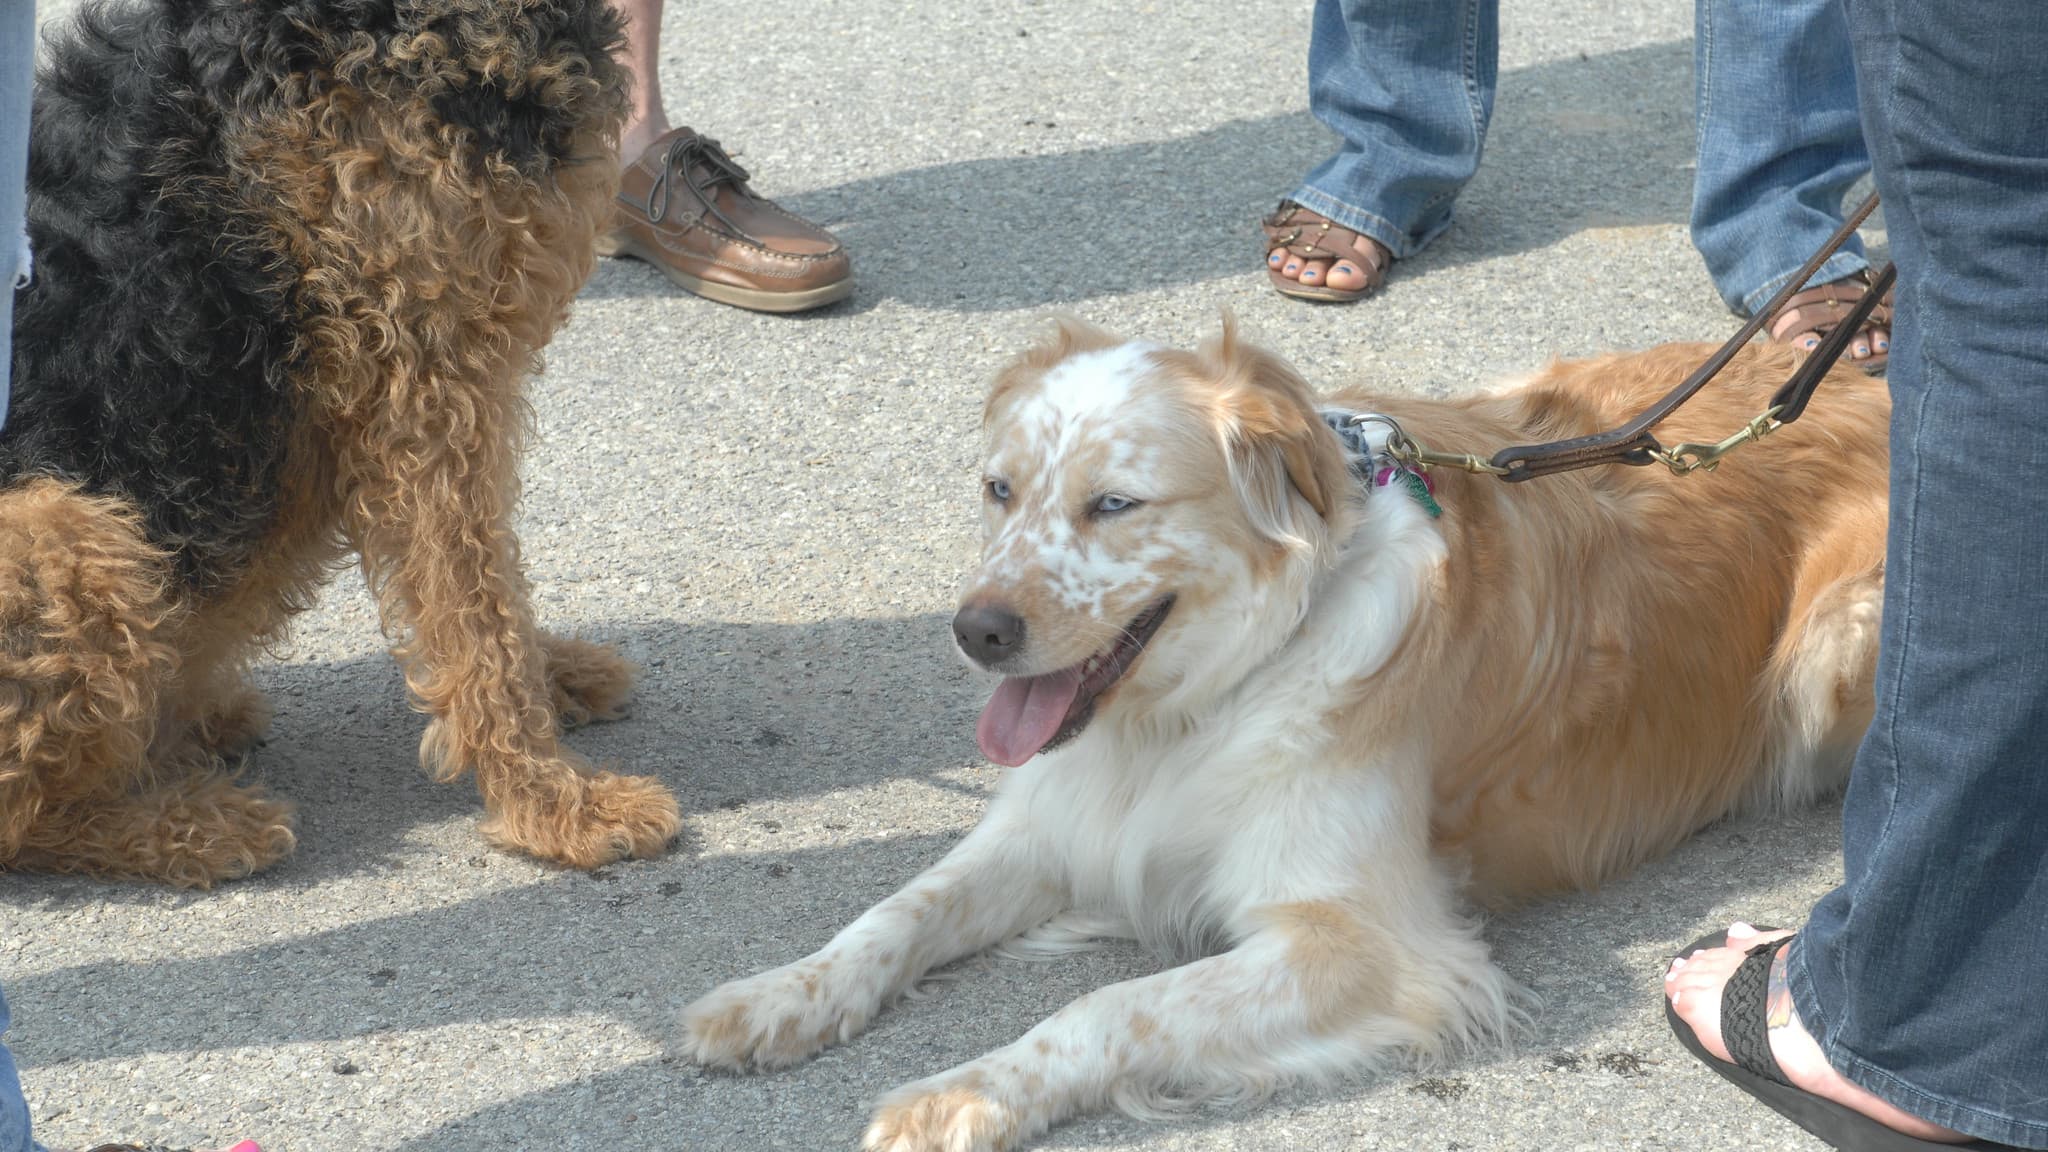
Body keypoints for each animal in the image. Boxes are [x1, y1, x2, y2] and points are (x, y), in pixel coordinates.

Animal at [0, 0, 688, 881]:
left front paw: (552, 686)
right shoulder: (423, 382)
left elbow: (489, 587)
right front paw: (552, 800)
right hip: (66, 530)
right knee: (20, 820)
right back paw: (198, 826)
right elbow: (475, 608)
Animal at [684, 319, 1884, 1147]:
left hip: (1840, 636)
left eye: (1114, 505)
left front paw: (966, 1089)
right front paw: (780, 995)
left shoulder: (1361, 943)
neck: (1200, 703)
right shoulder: (1052, 823)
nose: (976, 631)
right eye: (998, 490)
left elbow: (1114, 1008)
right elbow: (897, 911)